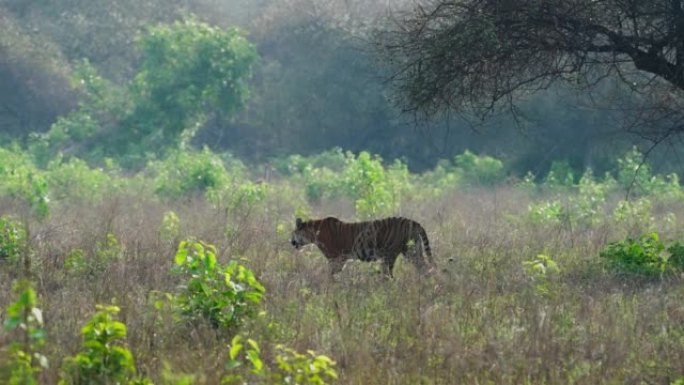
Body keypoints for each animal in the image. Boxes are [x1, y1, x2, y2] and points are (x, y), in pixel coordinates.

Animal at [288, 216, 432, 276]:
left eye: (293, 233)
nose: (291, 242)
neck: (313, 234)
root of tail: (413, 222)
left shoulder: (336, 259)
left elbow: (328, 275)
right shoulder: (339, 260)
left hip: (391, 255)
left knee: (388, 276)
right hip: (413, 251)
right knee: (425, 268)